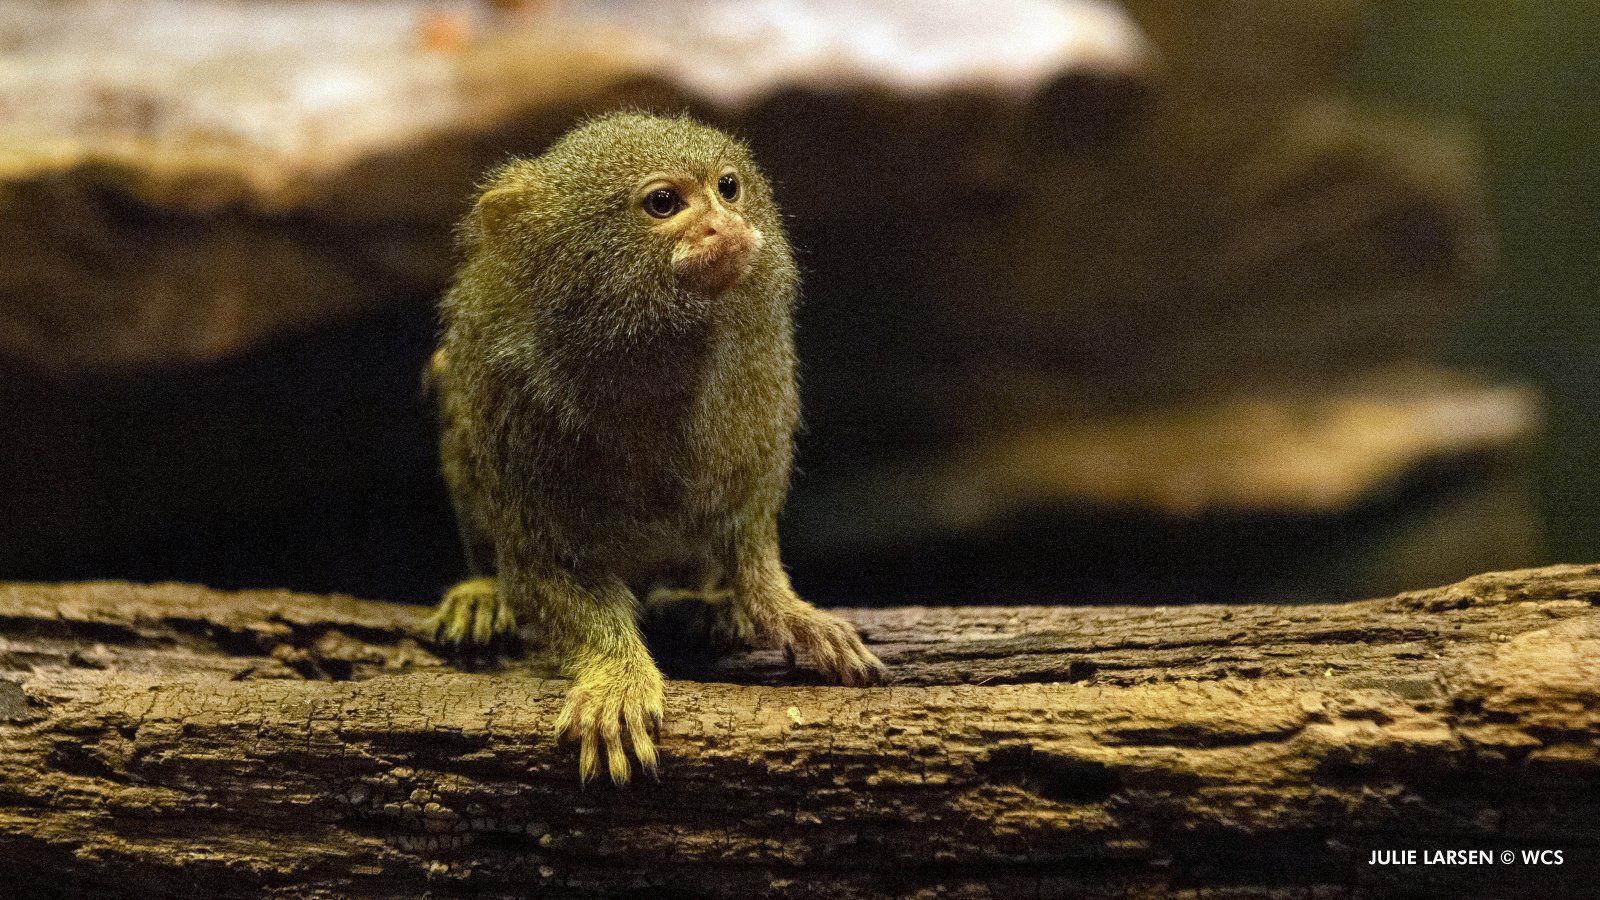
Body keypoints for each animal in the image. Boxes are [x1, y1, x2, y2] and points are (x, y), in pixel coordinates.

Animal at [422, 112, 887, 784]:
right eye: (664, 203)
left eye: (727, 187)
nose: (724, 225)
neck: (657, 351)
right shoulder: (511, 402)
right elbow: (548, 568)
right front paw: (617, 677)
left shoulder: (760, 386)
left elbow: (750, 540)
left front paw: (784, 610)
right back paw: (483, 595)